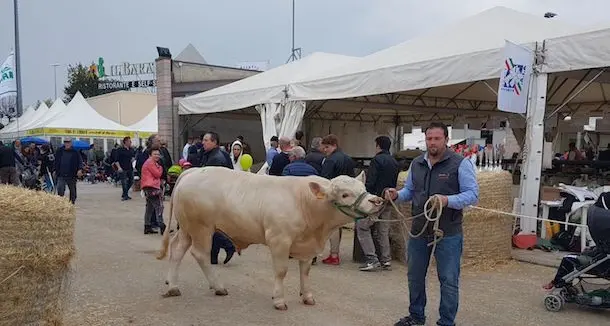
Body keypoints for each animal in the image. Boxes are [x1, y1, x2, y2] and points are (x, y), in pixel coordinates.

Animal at [158, 167, 384, 310]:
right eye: (345, 194)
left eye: (363, 189)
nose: (377, 200)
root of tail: (193, 171)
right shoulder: (279, 239)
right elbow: (281, 271)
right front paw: (279, 300)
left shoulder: (307, 245)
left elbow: (305, 272)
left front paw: (307, 296)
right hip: (202, 228)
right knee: (201, 254)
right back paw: (218, 287)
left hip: (187, 228)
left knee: (177, 249)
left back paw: (173, 286)